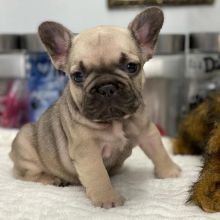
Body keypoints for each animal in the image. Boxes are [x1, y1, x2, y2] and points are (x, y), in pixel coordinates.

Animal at [9, 7, 181, 208]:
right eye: (77, 76)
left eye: (131, 67)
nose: (106, 87)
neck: (115, 122)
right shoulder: (87, 150)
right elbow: (98, 174)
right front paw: (108, 199)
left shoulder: (147, 131)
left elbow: (158, 150)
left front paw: (169, 171)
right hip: (25, 144)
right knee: (26, 174)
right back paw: (52, 179)